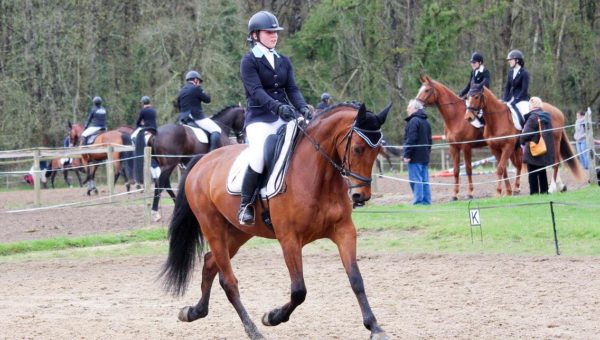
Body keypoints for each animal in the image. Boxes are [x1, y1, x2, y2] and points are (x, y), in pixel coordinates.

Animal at [162, 102, 392, 338]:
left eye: (377, 151)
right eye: (357, 148)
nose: (360, 196)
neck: (318, 175)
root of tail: (203, 159)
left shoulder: (344, 231)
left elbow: (356, 280)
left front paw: (374, 327)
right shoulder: (289, 239)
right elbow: (299, 290)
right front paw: (272, 317)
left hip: (238, 233)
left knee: (209, 264)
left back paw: (194, 311)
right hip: (212, 227)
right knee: (228, 281)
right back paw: (252, 330)